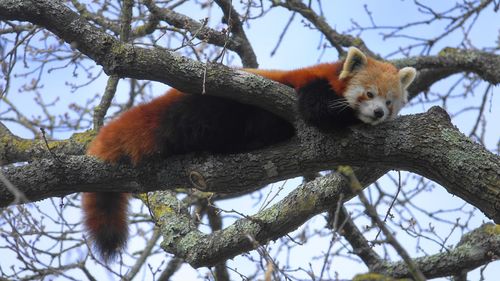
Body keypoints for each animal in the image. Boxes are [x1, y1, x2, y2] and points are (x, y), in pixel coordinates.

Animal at [82, 46, 418, 260]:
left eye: (390, 102)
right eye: (369, 94)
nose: (378, 113)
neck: (331, 76)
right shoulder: (311, 85)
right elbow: (318, 110)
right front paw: (350, 116)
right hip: (211, 107)